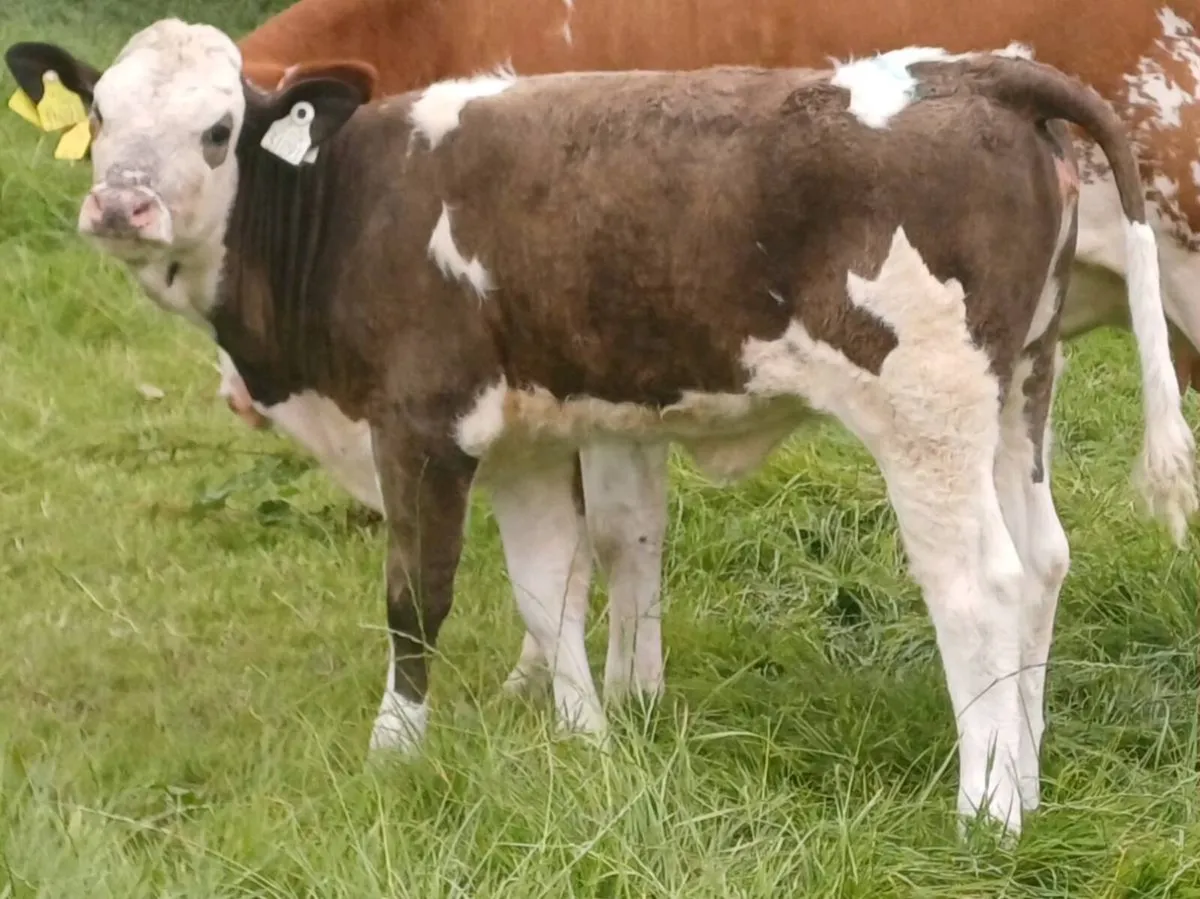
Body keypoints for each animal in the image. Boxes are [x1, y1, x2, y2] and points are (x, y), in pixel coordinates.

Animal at [6, 18, 1196, 837]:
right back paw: (1028, 778)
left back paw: (986, 809)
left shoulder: (418, 424)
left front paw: (396, 749)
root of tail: (978, 70)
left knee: (978, 585)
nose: (120, 207)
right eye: (102, 117)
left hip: (926, 410)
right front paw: (585, 740)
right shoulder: (528, 439)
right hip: (1018, 389)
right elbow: (552, 589)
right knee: (1042, 562)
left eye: (217, 131)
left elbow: (416, 599)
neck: (350, 203)